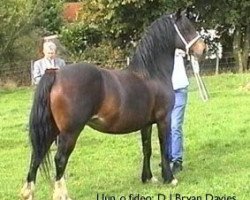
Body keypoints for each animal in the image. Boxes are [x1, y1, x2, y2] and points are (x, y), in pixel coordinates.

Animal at [21, 9, 205, 200]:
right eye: (186, 28)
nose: (202, 48)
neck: (152, 74)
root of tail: (56, 74)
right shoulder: (164, 120)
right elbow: (164, 148)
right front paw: (169, 178)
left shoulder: (146, 124)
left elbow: (146, 148)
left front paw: (148, 178)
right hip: (69, 132)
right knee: (59, 159)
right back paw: (61, 194)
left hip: (51, 129)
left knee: (37, 156)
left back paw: (28, 192)